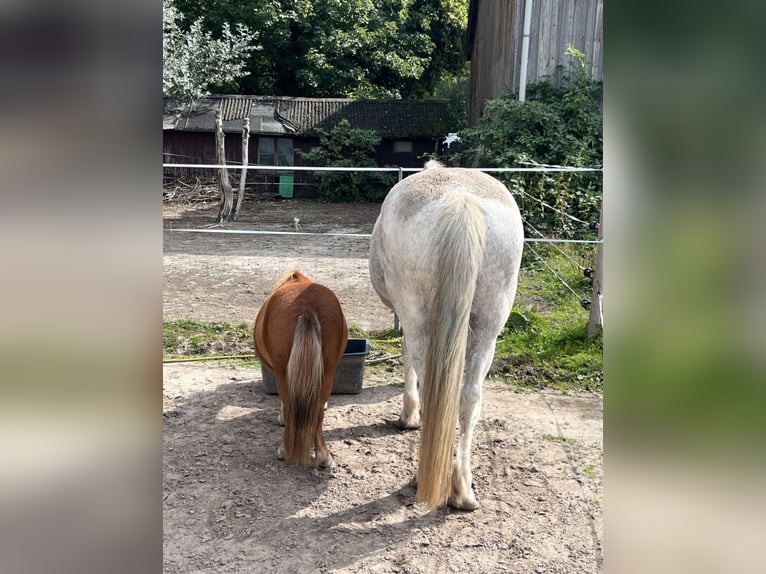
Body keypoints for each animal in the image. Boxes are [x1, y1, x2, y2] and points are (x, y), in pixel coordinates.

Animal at [253, 270, 348, 468]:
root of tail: (307, 306)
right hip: (327, 372)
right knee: (317, 413)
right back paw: (324, 456)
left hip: (283, 374)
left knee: (290, 406)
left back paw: (284, 450)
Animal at [369, 160, 524, 510]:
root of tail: (460, 198)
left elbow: (406, 357)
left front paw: (408, 416)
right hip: (488, 329)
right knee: (469, 397)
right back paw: (462, 490)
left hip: (420, 319)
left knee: (434, 389)